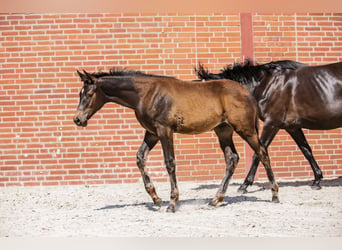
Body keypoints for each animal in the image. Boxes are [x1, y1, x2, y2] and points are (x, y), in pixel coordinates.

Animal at [73, 69, 280, 213]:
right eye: (79, 94)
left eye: (89, 94)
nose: (78, 120)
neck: (146, 93)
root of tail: (247, 92)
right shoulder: (152, 133)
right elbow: (140, 158)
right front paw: (156, 199)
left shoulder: (165, 130)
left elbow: (170, 163)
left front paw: (172, 203)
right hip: (223, 131)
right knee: (232, 159)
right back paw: (215, 200)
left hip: (245, 129)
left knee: (262, 153)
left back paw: (274, 195)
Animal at [196, 59, 342, 192]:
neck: (267, 85)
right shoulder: (292, 127)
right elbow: (306, 150)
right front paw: (317, 180)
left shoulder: (271, 123)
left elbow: (259, 152)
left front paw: (245, 185)